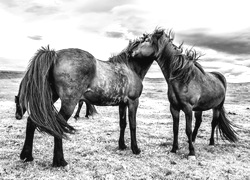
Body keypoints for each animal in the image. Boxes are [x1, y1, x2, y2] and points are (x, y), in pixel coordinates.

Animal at [19, 35, 155, 167]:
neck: (130, 68)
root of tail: (55, 54)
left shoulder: (122, 104)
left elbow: (123, 124)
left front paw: (122, 145)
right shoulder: (133, 101)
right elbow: (133, 125)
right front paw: (135, 149)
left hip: (49, 99)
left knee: (32, 121)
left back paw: (27, 156)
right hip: (69, 103)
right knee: (58, 125)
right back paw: (60, 161)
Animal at [131, 28, 238, 160]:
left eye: (147, 40)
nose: (131, 51)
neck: (182, 79)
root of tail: (219, 77)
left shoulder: (187, 108)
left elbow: (188, 129)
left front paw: (191, 152)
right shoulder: (174, 108)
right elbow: (175, 128)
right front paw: (174, 149)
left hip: (217, 107)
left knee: (214, 123)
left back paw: (211, 142)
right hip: (200, 108)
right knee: (198, 122)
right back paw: (193, 140)